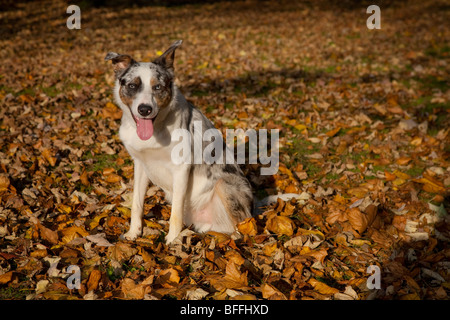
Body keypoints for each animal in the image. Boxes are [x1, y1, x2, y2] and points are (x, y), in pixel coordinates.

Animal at [105, 40, 253, 245]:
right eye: (133, 86)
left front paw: (173, 240)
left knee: (241, 230)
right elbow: (136, 203)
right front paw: (134, 232)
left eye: (158, 87)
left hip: (225, 185)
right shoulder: (140, 165)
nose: (145, 109)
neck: (156, 130)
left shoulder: (181, 169)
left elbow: (175, 213)